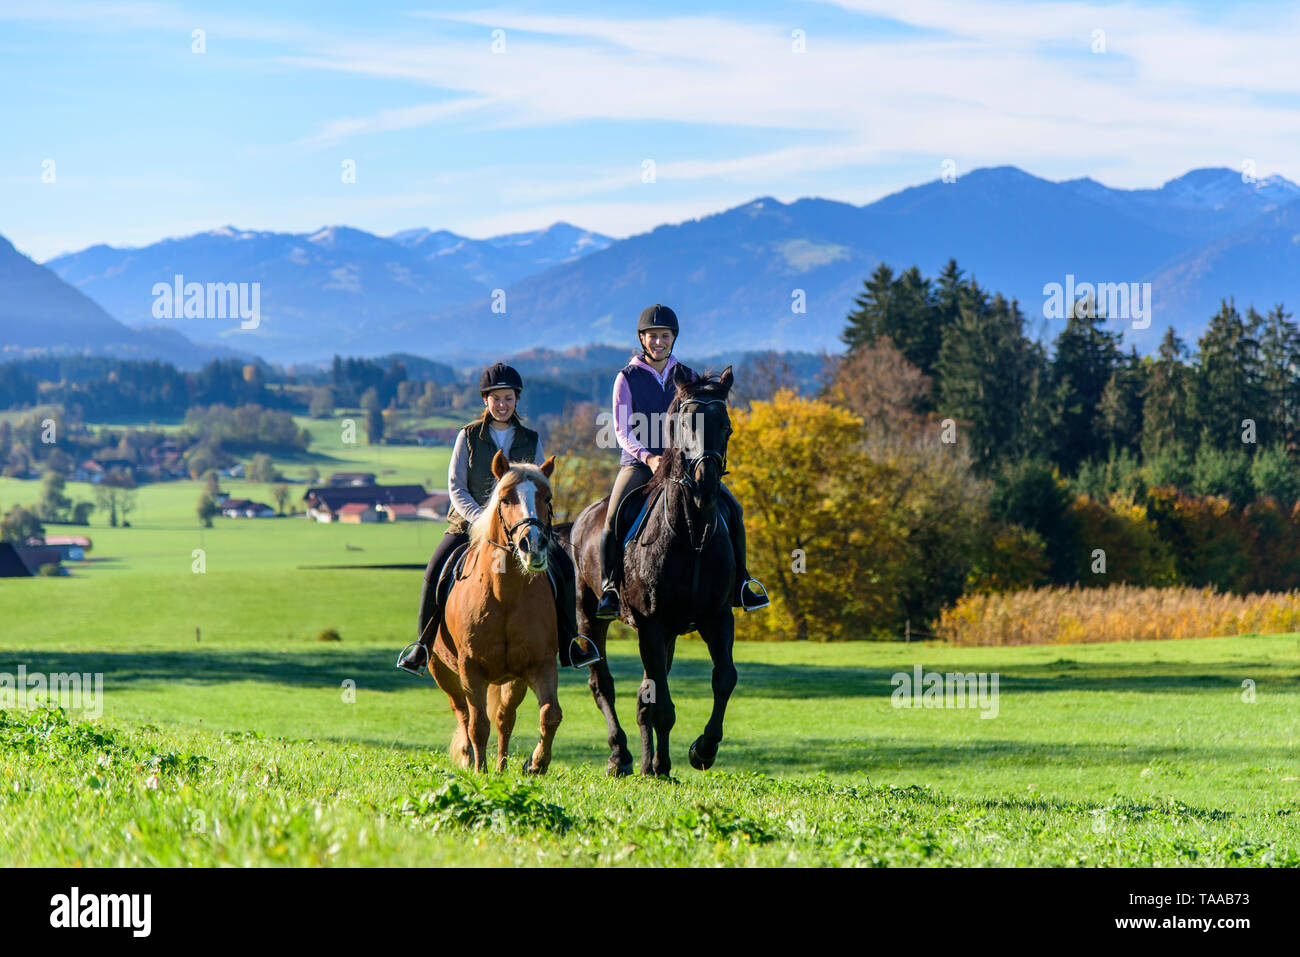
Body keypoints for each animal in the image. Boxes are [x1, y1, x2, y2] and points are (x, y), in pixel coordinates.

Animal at [429, 450, 563, 773]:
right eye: (505, 499)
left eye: (548, 498)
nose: (533, 545)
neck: (505, 596)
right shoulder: (470, 669)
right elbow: (477, 724)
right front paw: (480, 770)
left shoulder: (539, 664)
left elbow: (550, 714)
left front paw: (536, 764)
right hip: (441, 670)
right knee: (462, 712)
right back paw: (469, 757)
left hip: (512, 680)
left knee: (505, 718)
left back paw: (502, 767)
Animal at [569, 366, 739, 777]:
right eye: (682, 423)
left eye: (725, 425)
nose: (706, 484)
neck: (691, 532)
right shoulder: (651, 623)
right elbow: (661, 703)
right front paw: (666, 763)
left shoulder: (717, 618)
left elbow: (724, 678)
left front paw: (702, 750)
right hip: (590, 616)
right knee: (603, 685)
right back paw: (621, 757)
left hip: (669, 634)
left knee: (644, 692)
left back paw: (649, 763)